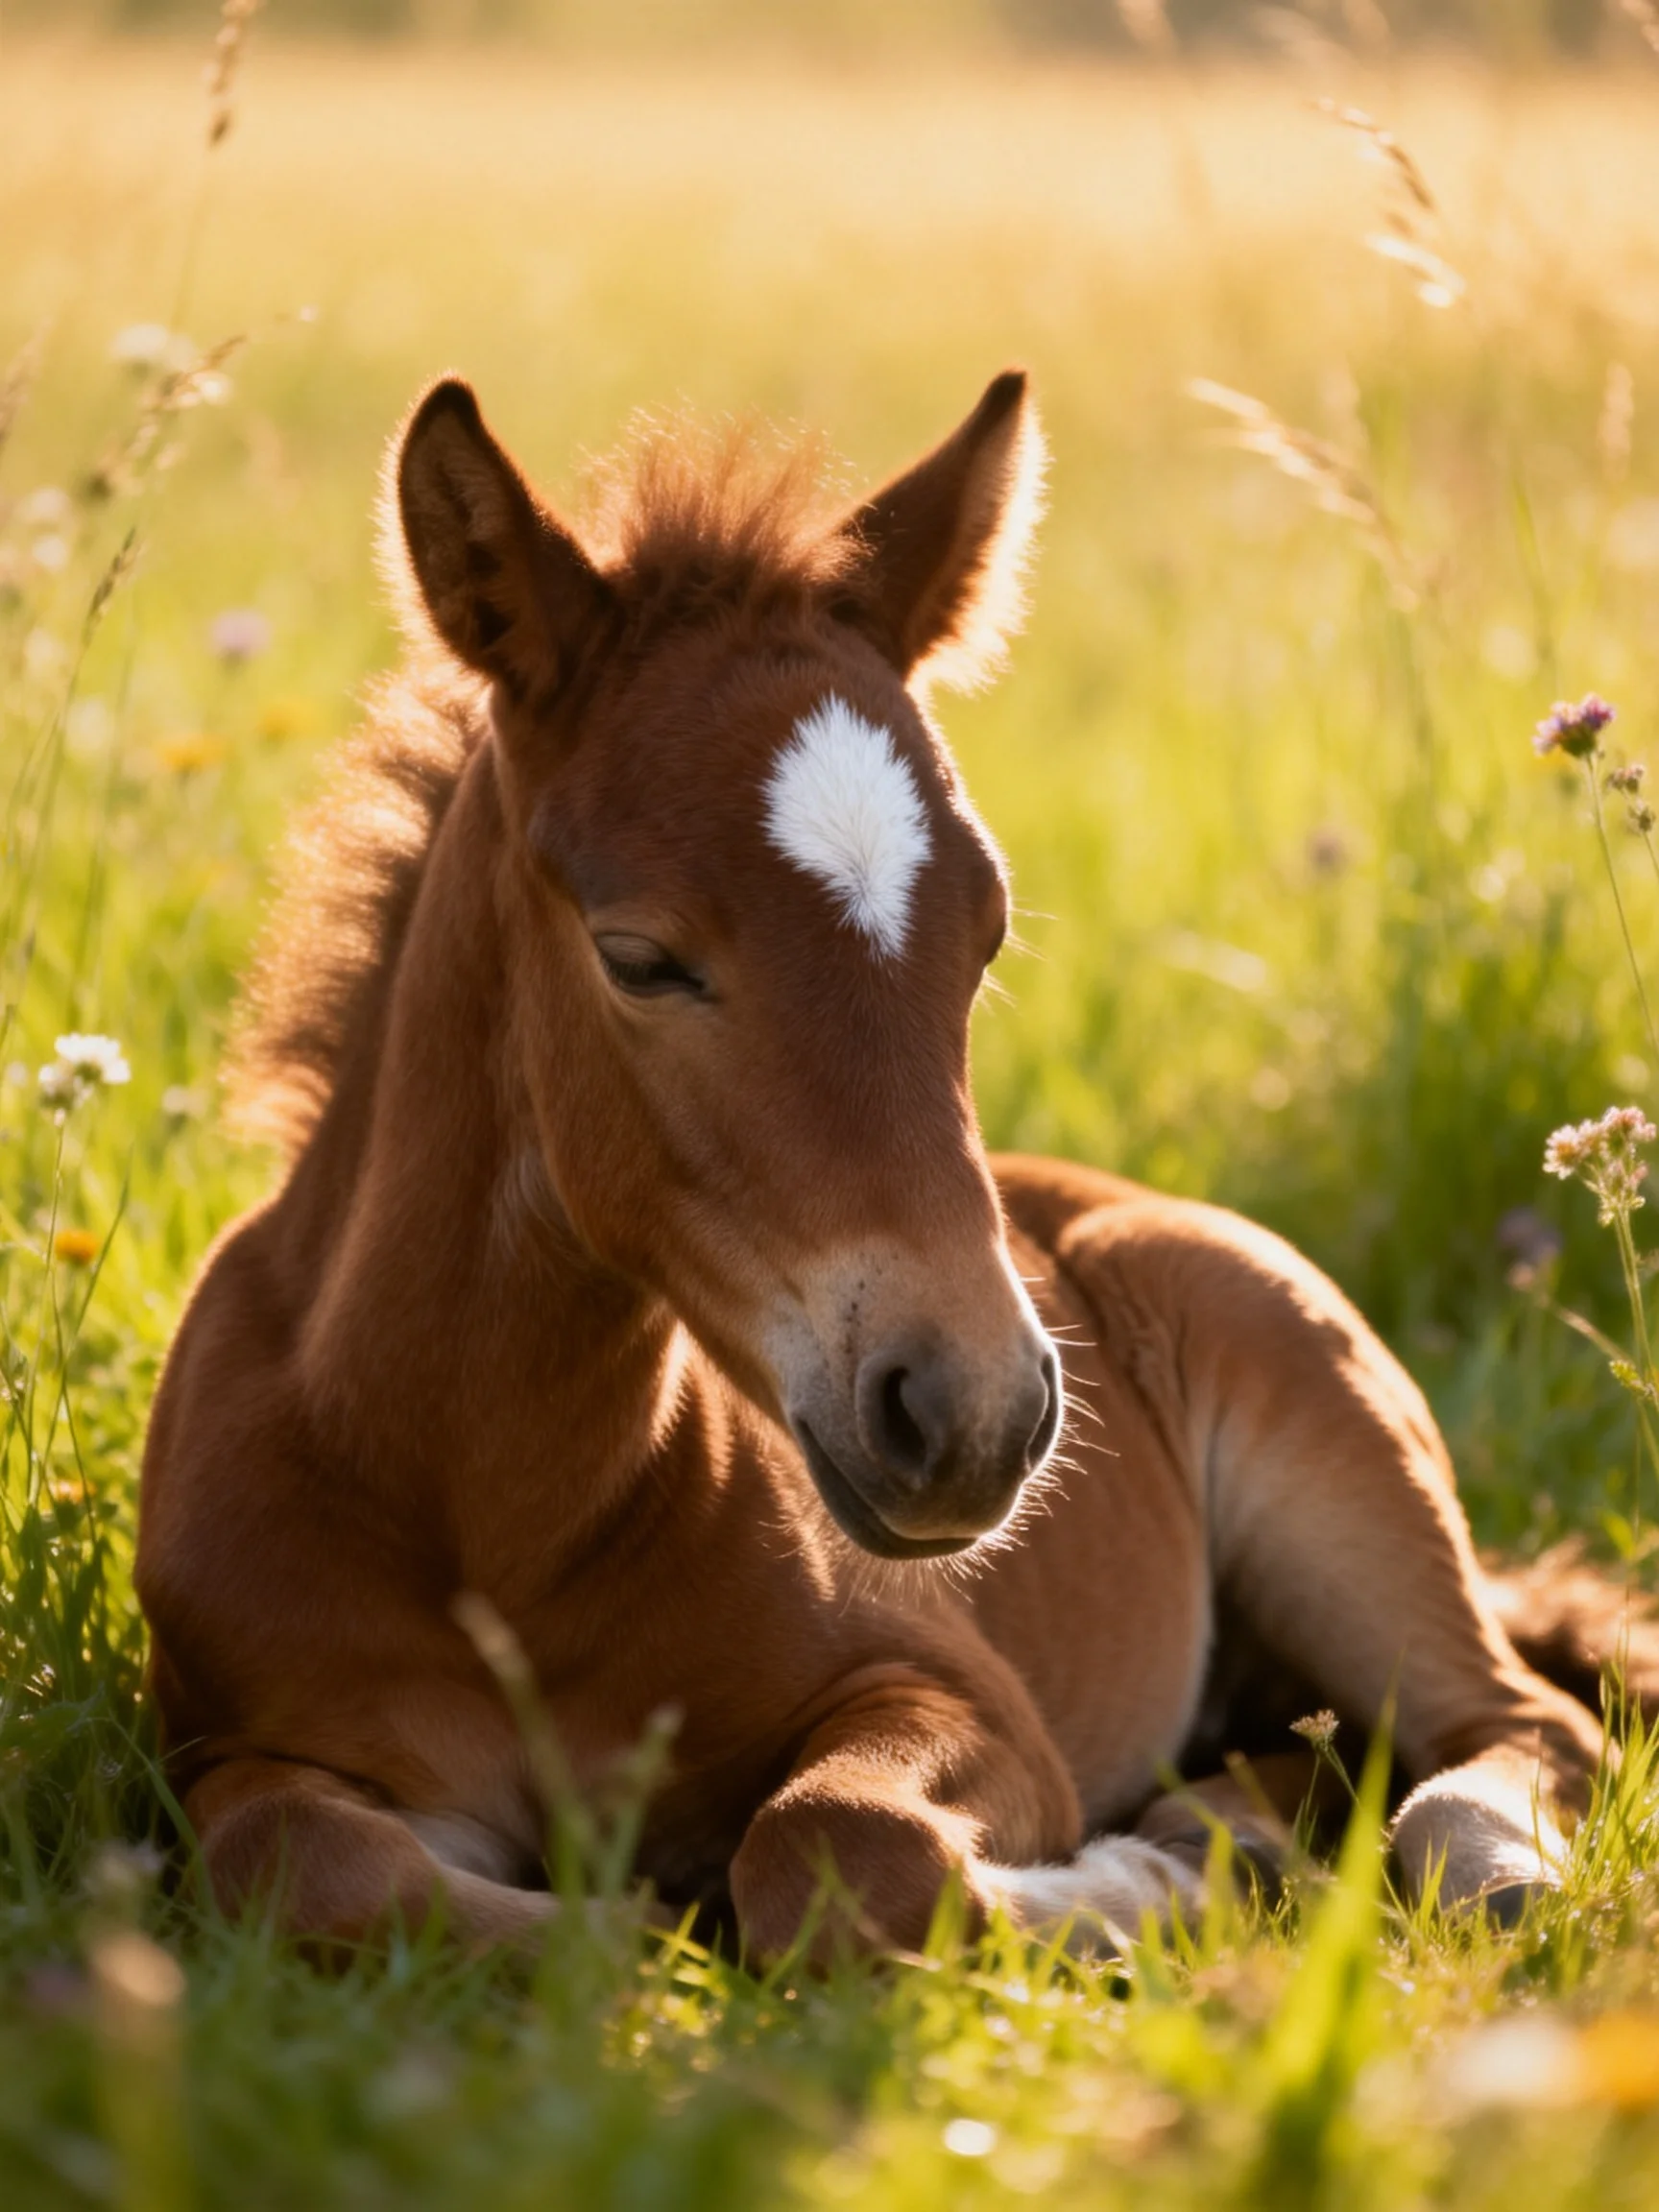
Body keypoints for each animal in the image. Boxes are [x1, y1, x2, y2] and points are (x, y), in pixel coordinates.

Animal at [136, 370, 1651, 1963]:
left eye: (984, 937)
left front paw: (1129, 1886)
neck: (489, 1515)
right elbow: (303, 1859)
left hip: (1335, 1458)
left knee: (1519, 1726)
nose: (975, 1413)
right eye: (640, 956)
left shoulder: (956, 1690)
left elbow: (836, 1841)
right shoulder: (249, 1744)